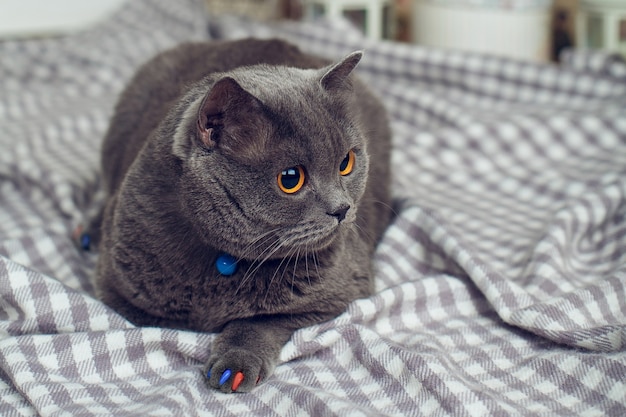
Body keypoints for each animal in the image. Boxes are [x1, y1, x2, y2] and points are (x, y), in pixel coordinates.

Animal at [83, 37, 390, 392]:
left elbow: (262, 320)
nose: (342, 208)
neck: (225, 262)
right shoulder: (119, 293)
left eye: (346, 163)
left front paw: (235, 366)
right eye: (290, 179)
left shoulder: (347, 289)